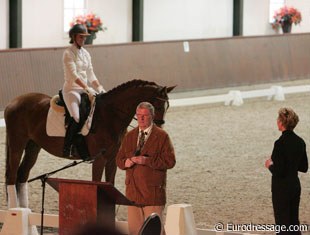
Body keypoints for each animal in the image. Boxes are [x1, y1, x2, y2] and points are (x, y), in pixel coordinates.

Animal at [4, 79, 174, 207]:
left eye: (166, 107)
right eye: (157, 105)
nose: (158, 128)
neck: (110, 115)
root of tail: (12, 102)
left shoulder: (112, 159)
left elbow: (110, 184)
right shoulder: (99, 159)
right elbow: (96, 182)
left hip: (33, 146)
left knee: (22, 174)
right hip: (17, 145)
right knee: (12, 176)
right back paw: (15, 211)